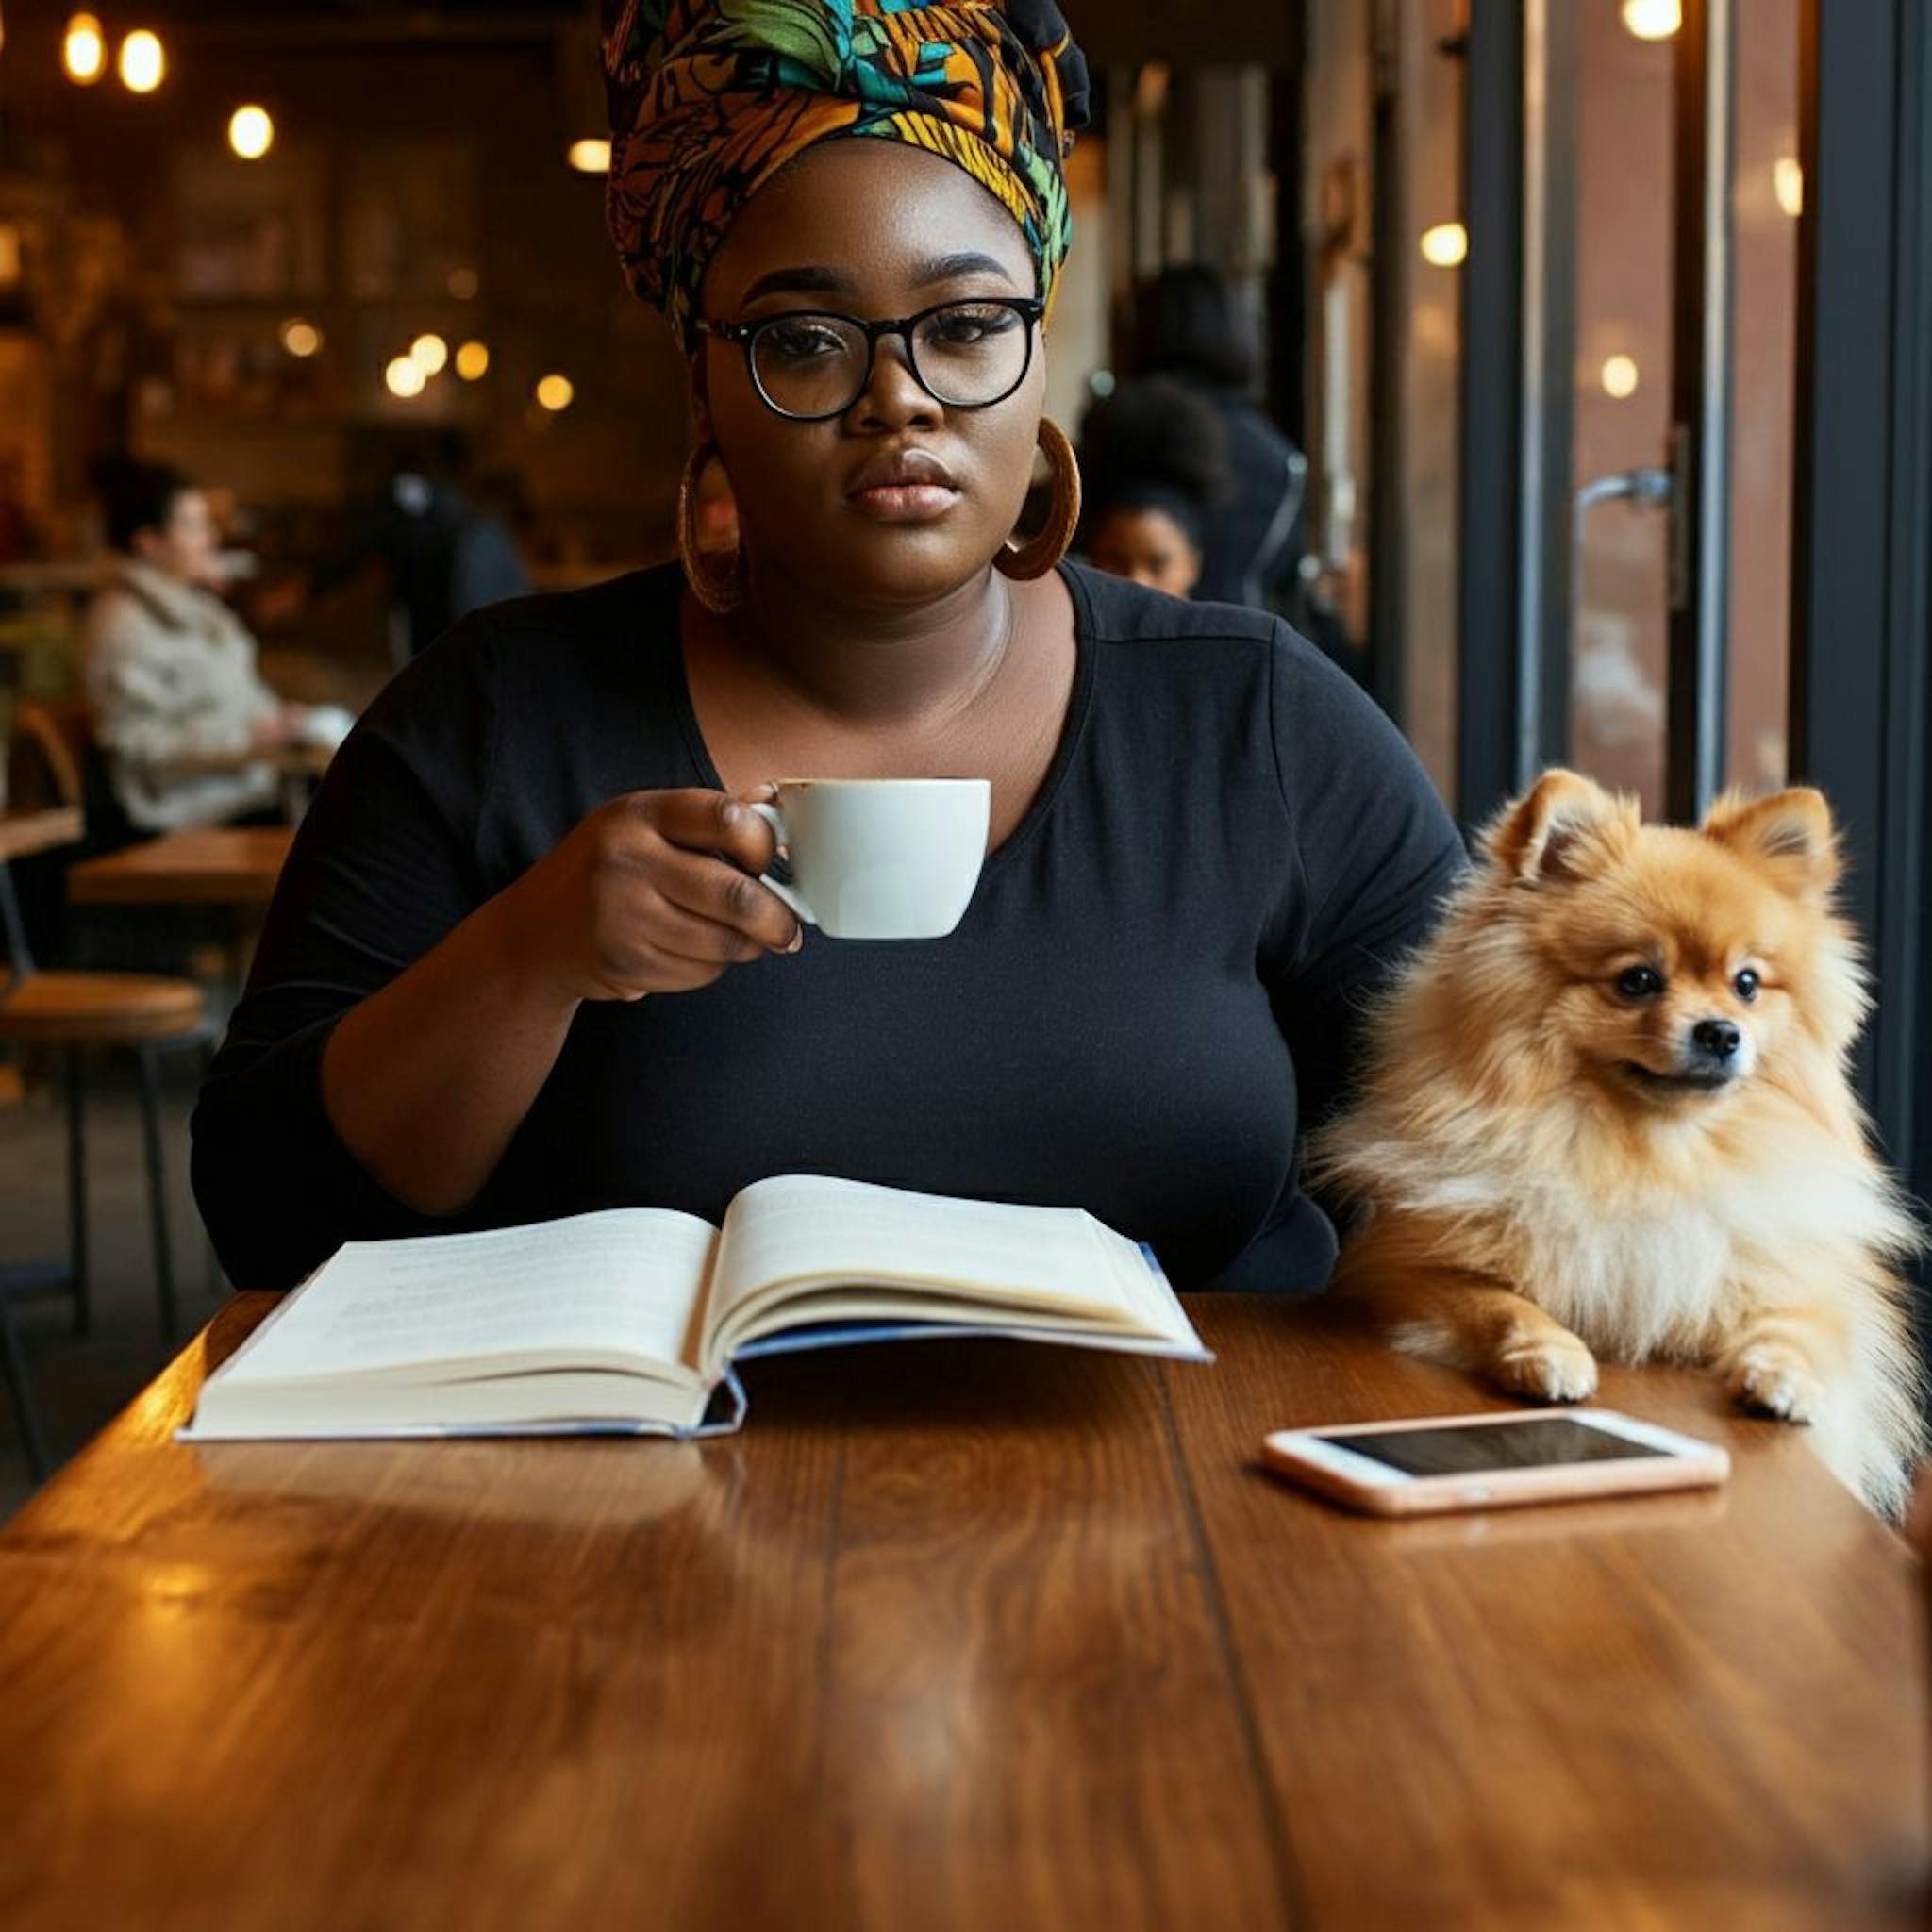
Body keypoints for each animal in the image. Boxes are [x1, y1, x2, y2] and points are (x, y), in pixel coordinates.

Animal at [1306, 765, 1924, 1507]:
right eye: (1638, 981)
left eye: (1747, 983)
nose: (1722, 1032)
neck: (1646, 1156)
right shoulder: (1407, 1272)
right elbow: (1497, 1303)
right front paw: (1549, 1353)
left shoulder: (1796, 1285)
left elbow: (1799, 1328)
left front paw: (1783, 1377)